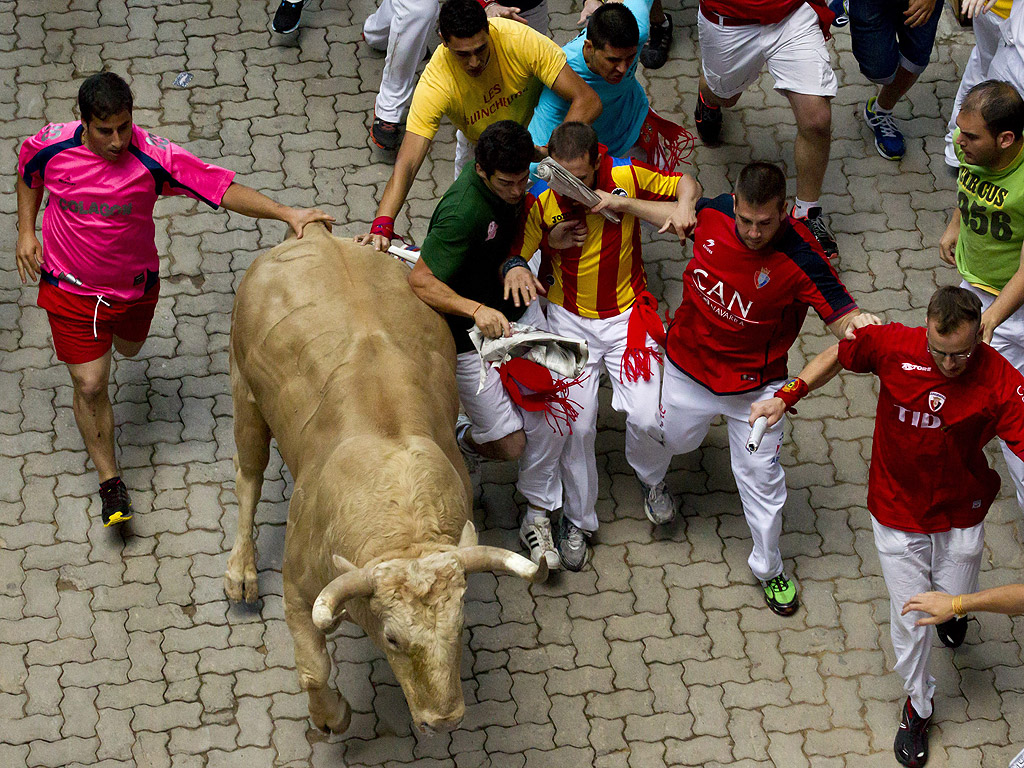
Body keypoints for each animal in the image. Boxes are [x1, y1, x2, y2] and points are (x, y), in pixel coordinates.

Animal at [221, 225, 548, 737]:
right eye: (392, 639)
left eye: (458, 629)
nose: (444, 718)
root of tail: (317, 234)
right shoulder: (298, 587)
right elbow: (314, 670)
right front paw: (333, 717)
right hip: (245, 394)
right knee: (248, 476)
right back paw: (241, 571)